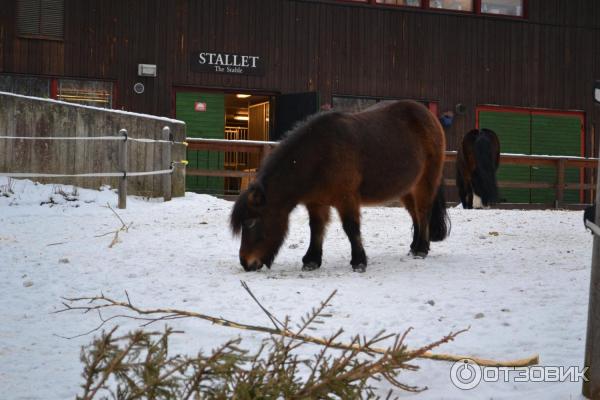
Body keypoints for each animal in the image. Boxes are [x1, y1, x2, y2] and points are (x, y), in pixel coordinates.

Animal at [230, 99, 450, 272]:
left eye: (251, 222)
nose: (245, 262)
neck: (319, 156)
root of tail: (428, 115)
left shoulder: (346, 198)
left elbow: (351, 227)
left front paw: (359, 261)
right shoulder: (316, 202)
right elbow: (316, 228)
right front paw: (312, 260)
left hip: (425, 182)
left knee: (423, 212)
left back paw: (421, 249)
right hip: (406, 188)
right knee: (415, 214)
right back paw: (414, 247)